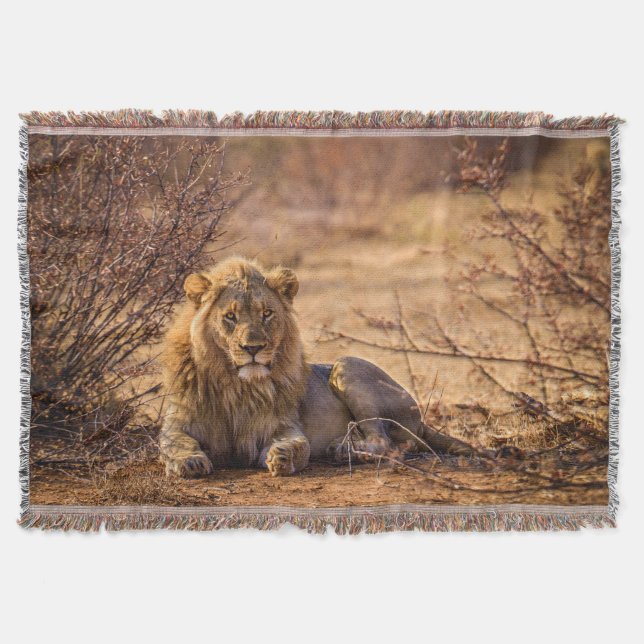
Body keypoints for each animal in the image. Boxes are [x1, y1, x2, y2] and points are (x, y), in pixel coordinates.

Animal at [159, 256, 478, 477]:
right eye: (230, 316)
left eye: (267, 313)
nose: (253, 348)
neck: (236, 383)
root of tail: (421, 418)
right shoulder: (178, 422)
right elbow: (175, 443)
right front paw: (190, 462)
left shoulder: (283, 425)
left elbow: (299, 445)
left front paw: (283, 457)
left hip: (346, 366)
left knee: (386, 442)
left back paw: (347, 451)